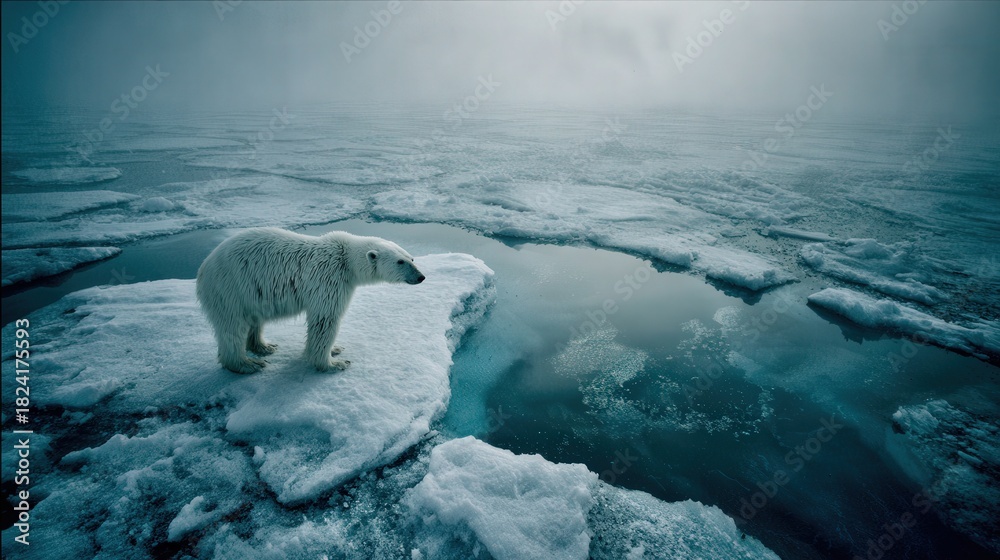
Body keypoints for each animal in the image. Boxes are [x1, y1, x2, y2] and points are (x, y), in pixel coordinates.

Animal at [196, 227, 425, 373]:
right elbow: (325, 320)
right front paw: (334, 363)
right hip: (230, 289)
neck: (344, 259)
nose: (421, 277)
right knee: (232, 327)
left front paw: (335, 349)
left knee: (254, 320)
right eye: (400, 261)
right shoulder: (329, 280)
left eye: (411, 258)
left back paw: (264, 346)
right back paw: (247, 364)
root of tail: (204, 267)